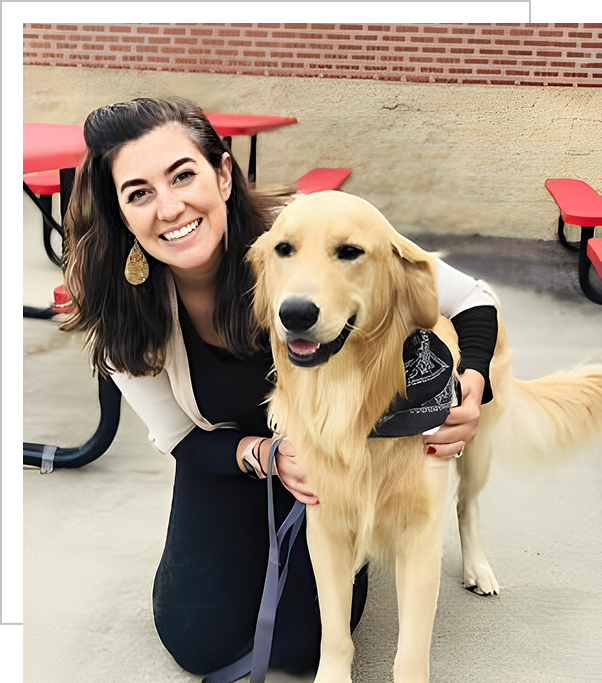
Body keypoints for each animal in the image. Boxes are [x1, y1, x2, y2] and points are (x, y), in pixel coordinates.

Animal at [246, 191, 600, 683]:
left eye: (350, 252)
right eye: (284, 249)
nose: (295, 313)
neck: (354, 405)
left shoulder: (420, 537)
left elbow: (411, 650)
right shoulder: (325, 523)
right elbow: (335, 634)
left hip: (477, 449)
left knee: (467, 505)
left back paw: (478, 568)